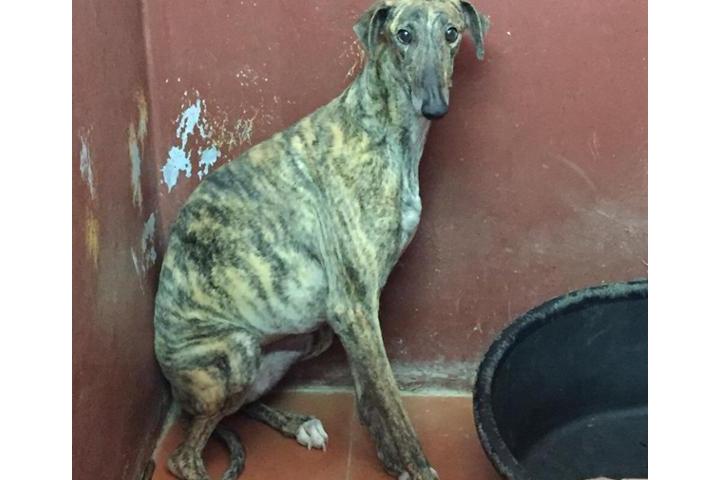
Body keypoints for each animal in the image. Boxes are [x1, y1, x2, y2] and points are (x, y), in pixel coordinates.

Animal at [153, 1, 489, 479]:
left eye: (452, 33)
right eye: (403, 35)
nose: (435, 107)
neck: (383, 130)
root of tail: (173, 386)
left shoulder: (354, 310)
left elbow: (369, 396)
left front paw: (390, 459)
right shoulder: (353, 307)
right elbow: (391, 402)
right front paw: (416, 466)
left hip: (304, 339)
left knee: (240, 406)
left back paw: (298, 424)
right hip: (233, 352)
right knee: (185, 454)